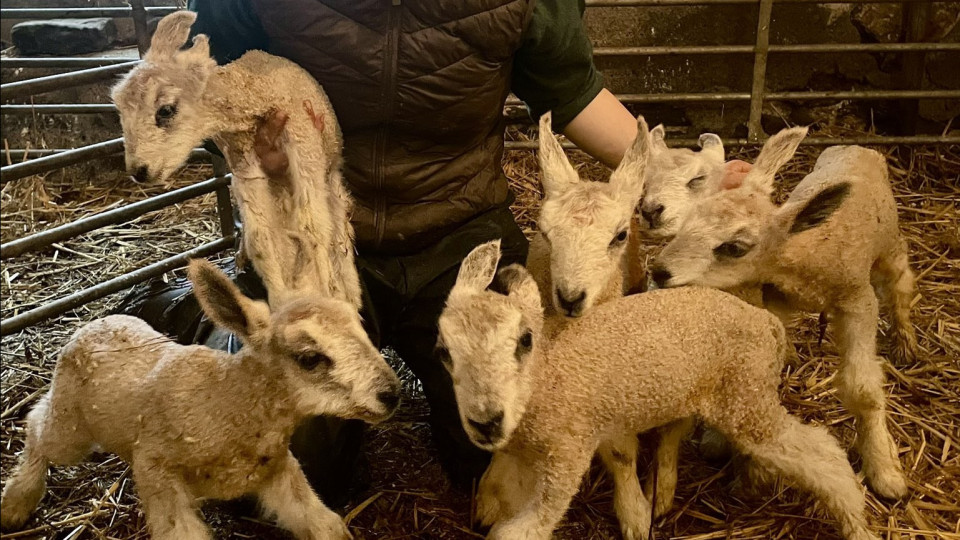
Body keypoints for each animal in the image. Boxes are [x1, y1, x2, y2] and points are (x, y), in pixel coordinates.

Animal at [0, 260, 398, 536]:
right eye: (309, 358)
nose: (390, 394)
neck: (230, 402)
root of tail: (92, 324)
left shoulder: (278, 470)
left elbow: (325, 525)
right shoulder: (155, 471)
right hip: (71, 422)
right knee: (37, 427)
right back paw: (16, 502)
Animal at [438, 240, 880, 540]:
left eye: (525, 340)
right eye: (443, 351)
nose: (485, 420)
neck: (546, 381)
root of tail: (766, 324)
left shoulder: (567, 454)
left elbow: (524, 525)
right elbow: (500, 490)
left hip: (745, 398)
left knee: (822, 452)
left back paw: (853, 516)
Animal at [648, 136, 920, 502]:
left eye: (734, 247)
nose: (659, 272)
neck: (805, 251)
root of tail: (856, 147)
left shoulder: (858, 301)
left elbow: (862, 388)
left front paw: (884, 469)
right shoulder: (769, 297)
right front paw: (723, 445)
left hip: (890, 246)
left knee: (901, 284)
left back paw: (906, 342)